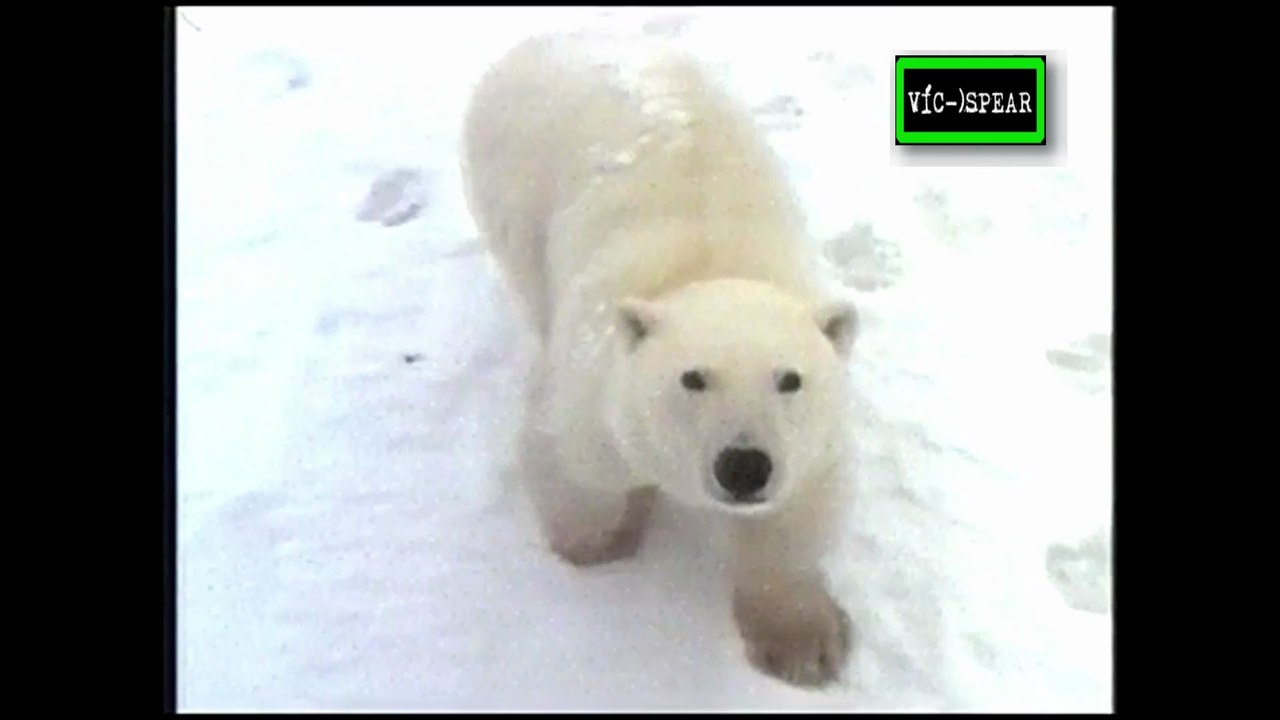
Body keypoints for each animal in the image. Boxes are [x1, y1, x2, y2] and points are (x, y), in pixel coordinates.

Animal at [460, 30, 861, 688]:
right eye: (692, 378)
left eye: (790, 380)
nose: (744, 466)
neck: (709, 264)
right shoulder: (595, 389)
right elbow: (572, 463)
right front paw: (599, 542)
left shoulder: (808, 444)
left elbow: (792, 518)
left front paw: (804, 646)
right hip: (509, 194)